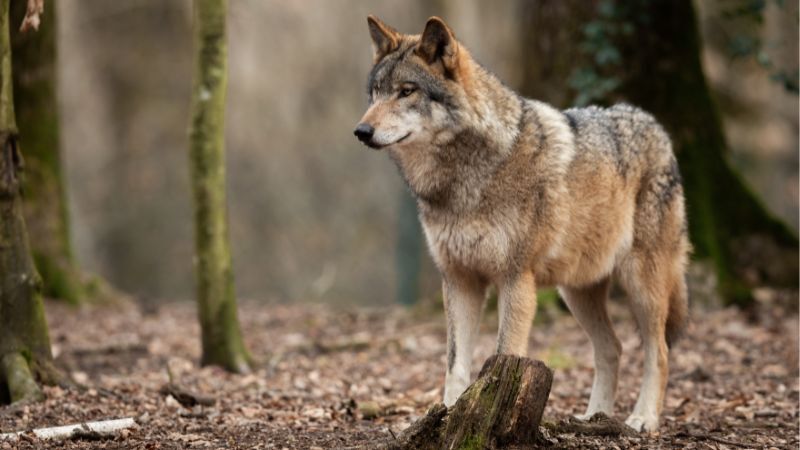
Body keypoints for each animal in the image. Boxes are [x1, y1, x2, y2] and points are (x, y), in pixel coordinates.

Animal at [354, 15, 690, 432]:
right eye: (375, 93)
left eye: (406, 92)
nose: (361, 132)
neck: (464, 180)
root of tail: (655, 125)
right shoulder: (460, 280)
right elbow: (455, 365)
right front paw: (447, 418)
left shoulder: (515, 279)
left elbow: (503, 355)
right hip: (576, 292)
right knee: (612, 347)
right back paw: (594, 417)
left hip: (642, 285)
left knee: (659, 351)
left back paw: (643, 418)